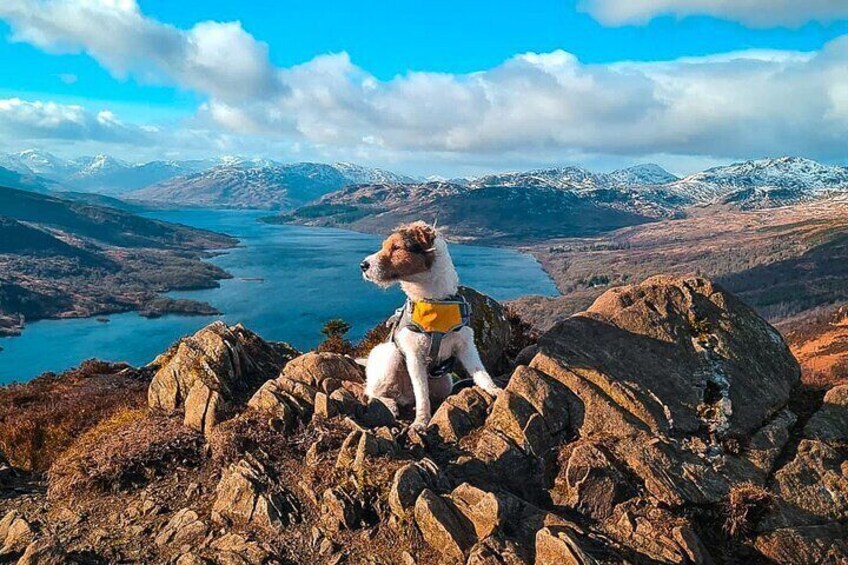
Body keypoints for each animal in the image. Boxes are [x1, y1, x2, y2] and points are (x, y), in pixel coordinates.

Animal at [360, 219, 504, 428]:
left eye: (396, 247)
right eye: (385, 246)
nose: (363, 265)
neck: (434, 301)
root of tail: (404, 396)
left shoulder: (466, 346)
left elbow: (480, 372)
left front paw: (493, 390)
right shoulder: (414, 356)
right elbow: (422, 394)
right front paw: (421, 421)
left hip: (444, 382)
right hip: (390, 354)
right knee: (371, 392)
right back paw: (390, 404)